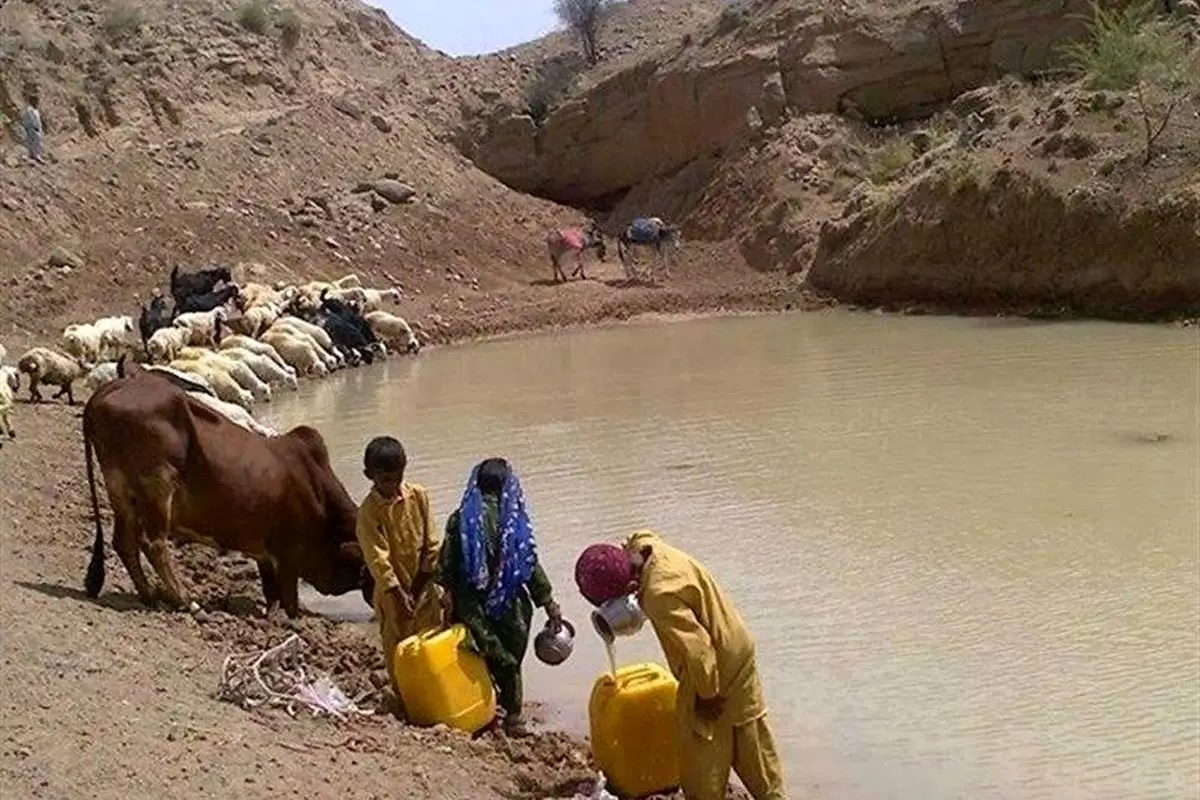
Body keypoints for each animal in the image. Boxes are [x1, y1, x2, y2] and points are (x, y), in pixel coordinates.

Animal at [81, 362, 369, 618]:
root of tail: (109, 389)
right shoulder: (289, 557)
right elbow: (289, 603)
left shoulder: (264, 553)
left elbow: (271, 595)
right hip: (158, 486)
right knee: (154, 544)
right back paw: (187, 603)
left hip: (119, 489)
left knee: (124, 542)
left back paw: (150, 596)